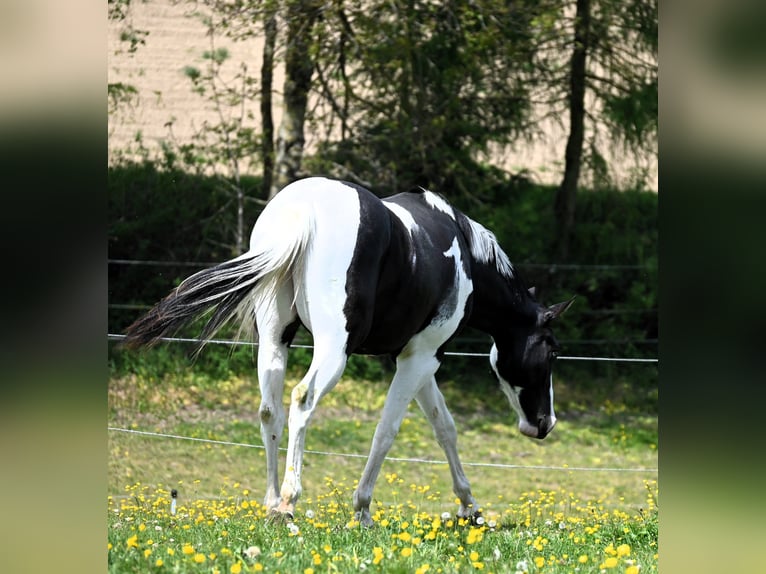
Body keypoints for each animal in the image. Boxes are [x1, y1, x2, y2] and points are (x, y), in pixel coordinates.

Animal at [122, 176, 574, 526]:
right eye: (552, 352)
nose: (544, 423)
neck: (462, 254)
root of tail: (303, 211)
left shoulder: (419, 359)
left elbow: (444, 427)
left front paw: (470, 507)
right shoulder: (419, 359)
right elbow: (388, 430)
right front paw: (362, 509)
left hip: (274, 339)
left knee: (270, 410)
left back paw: (270, 501)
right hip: (332, 351)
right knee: (302, 400)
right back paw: (288, 503)